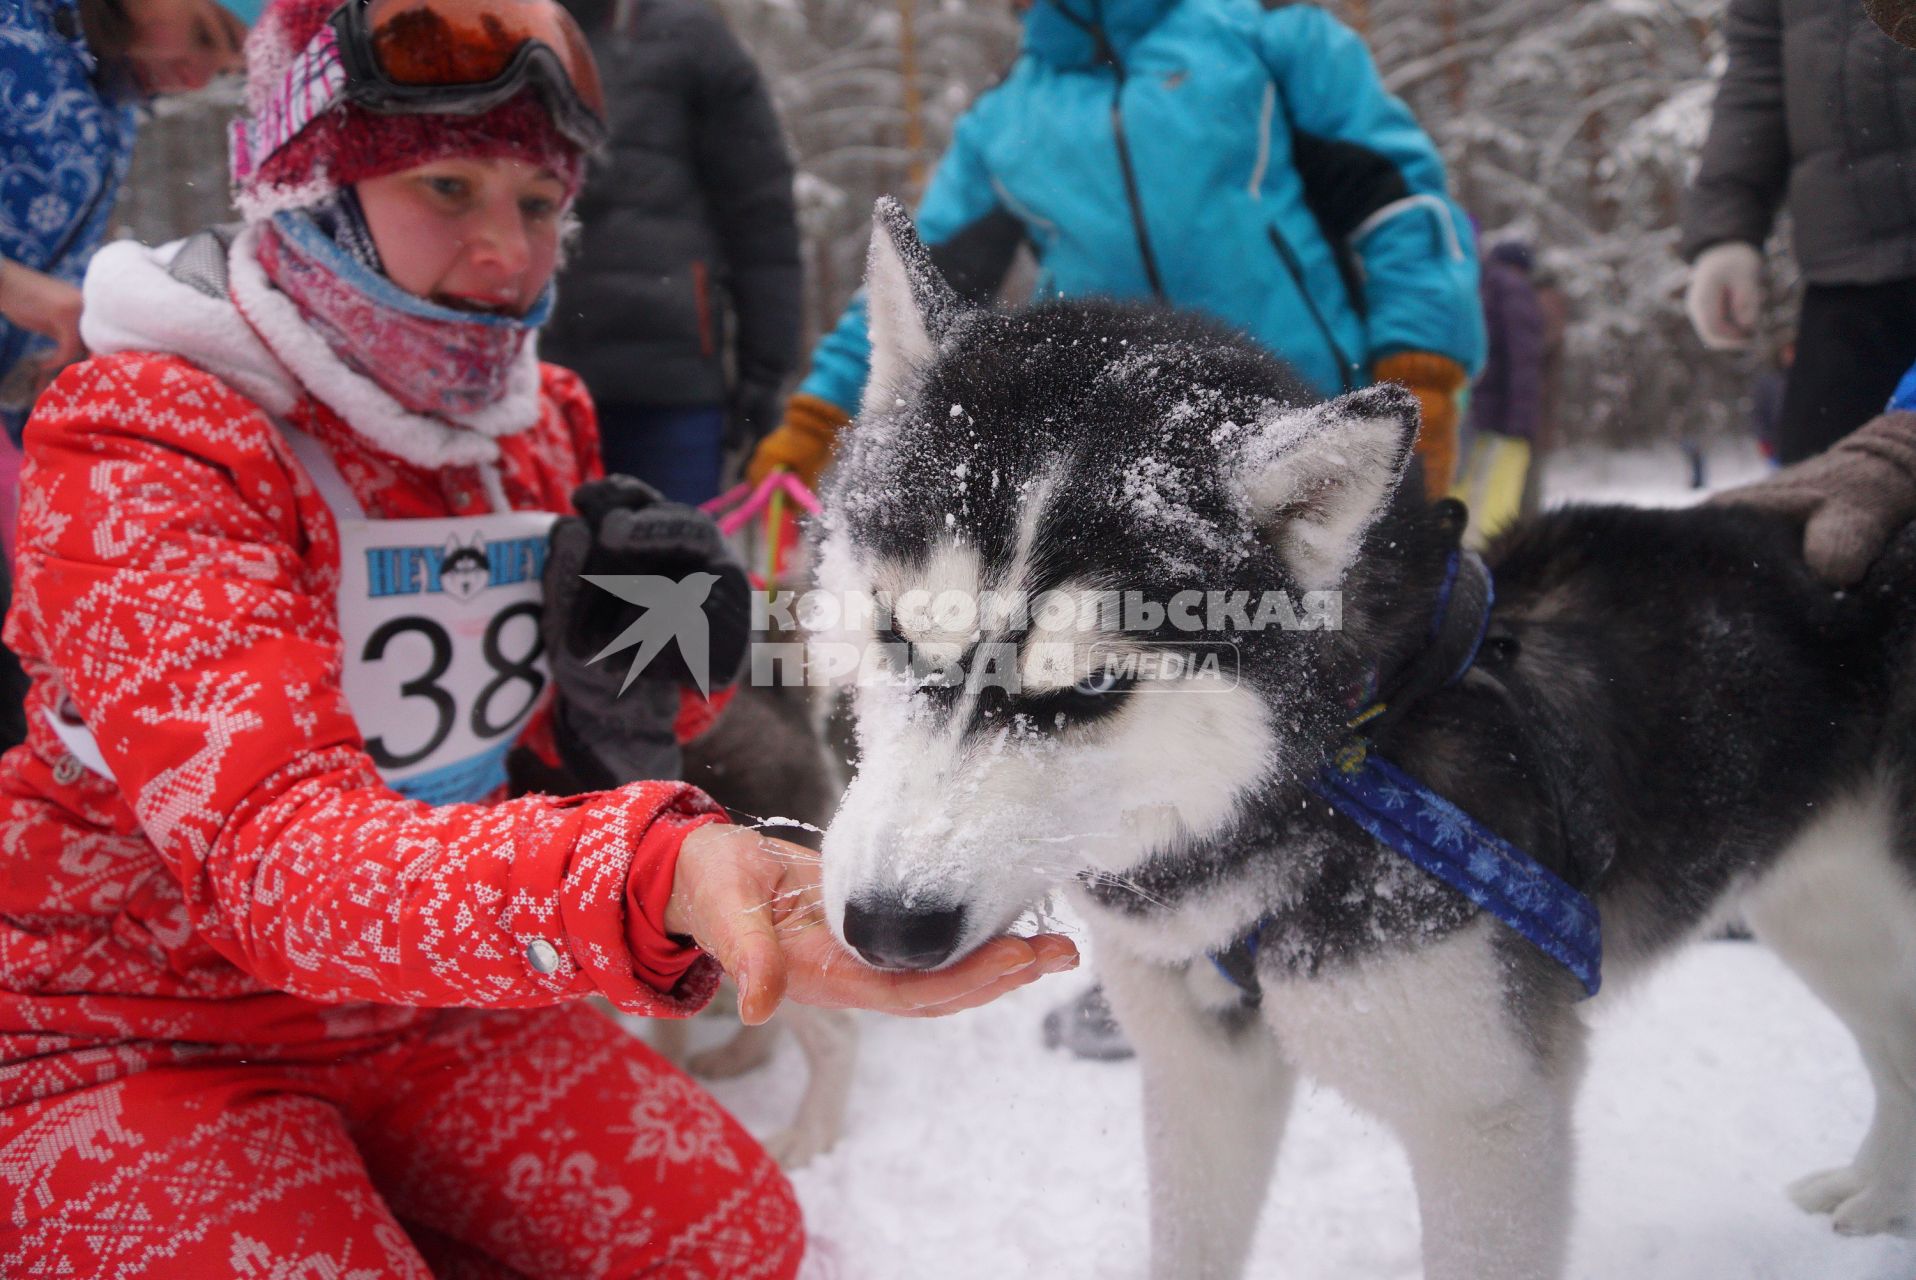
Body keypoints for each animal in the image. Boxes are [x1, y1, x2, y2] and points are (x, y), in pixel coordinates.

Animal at [804, 202, 1916, 1280]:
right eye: (896, 630)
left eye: (1090, 686)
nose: (890, 927)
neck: (1325, 776)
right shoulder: (1203, 1075)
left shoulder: (1488, 1122)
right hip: (1824, 914)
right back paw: (1873, 1195)